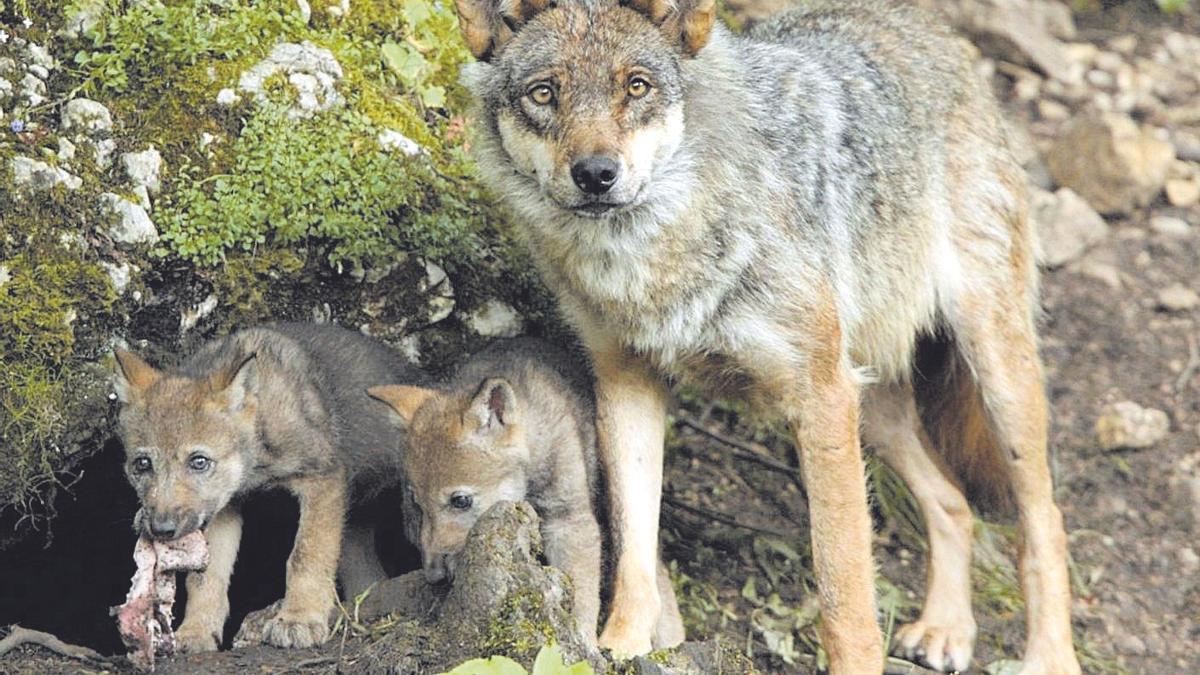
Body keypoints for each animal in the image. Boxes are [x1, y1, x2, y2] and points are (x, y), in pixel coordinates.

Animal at [112, 322, 426, 652]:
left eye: (199, 462)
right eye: (142, 465)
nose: (161, 529)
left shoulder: (323, 477)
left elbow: (304, 555)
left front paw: (299, 619)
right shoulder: (224, 507)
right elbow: (206, 577)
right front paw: (196, 631)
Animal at [368, 337, 685, 649]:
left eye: (461, 501)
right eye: (418, 505)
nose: (433, 577)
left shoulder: (569, 520)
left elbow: (581, 593)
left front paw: (582, 643)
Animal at [451, 0, 1081, 672]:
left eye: (637, 87)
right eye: (544, 93)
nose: (596, 174)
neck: (654, 259)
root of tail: (931, 28)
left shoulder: (820, 398)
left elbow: (843, 590)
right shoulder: (625, 380)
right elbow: (635, 545)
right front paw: (621, 645)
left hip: (991, 375)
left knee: (1044, 520)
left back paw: (1048, 655)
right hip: (872, 408)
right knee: (953, 502)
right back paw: (946, 629)